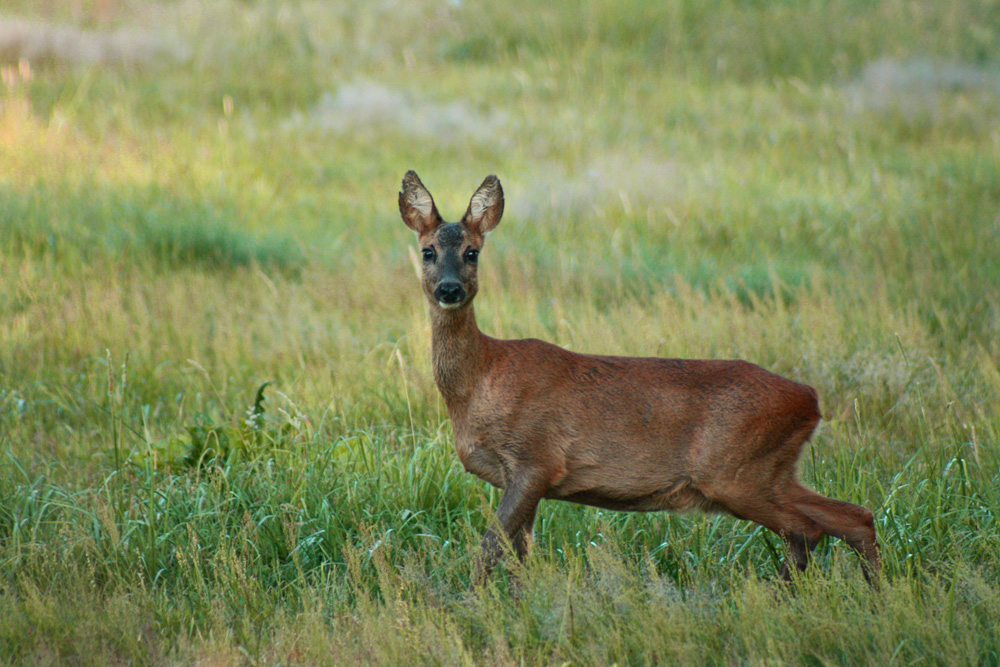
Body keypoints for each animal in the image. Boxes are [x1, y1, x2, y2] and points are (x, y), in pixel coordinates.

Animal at [398, 170, 884, 588]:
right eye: (427, 251)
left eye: (472, 252)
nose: (449, 289)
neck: (481, 380)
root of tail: (811, 399)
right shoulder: (520, 477)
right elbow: (519, 558)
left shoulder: (536, 460)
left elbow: (489, 550)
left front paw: (470, 605)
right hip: (772, 470)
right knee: (854, 516)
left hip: (735, 470)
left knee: (807, 529)